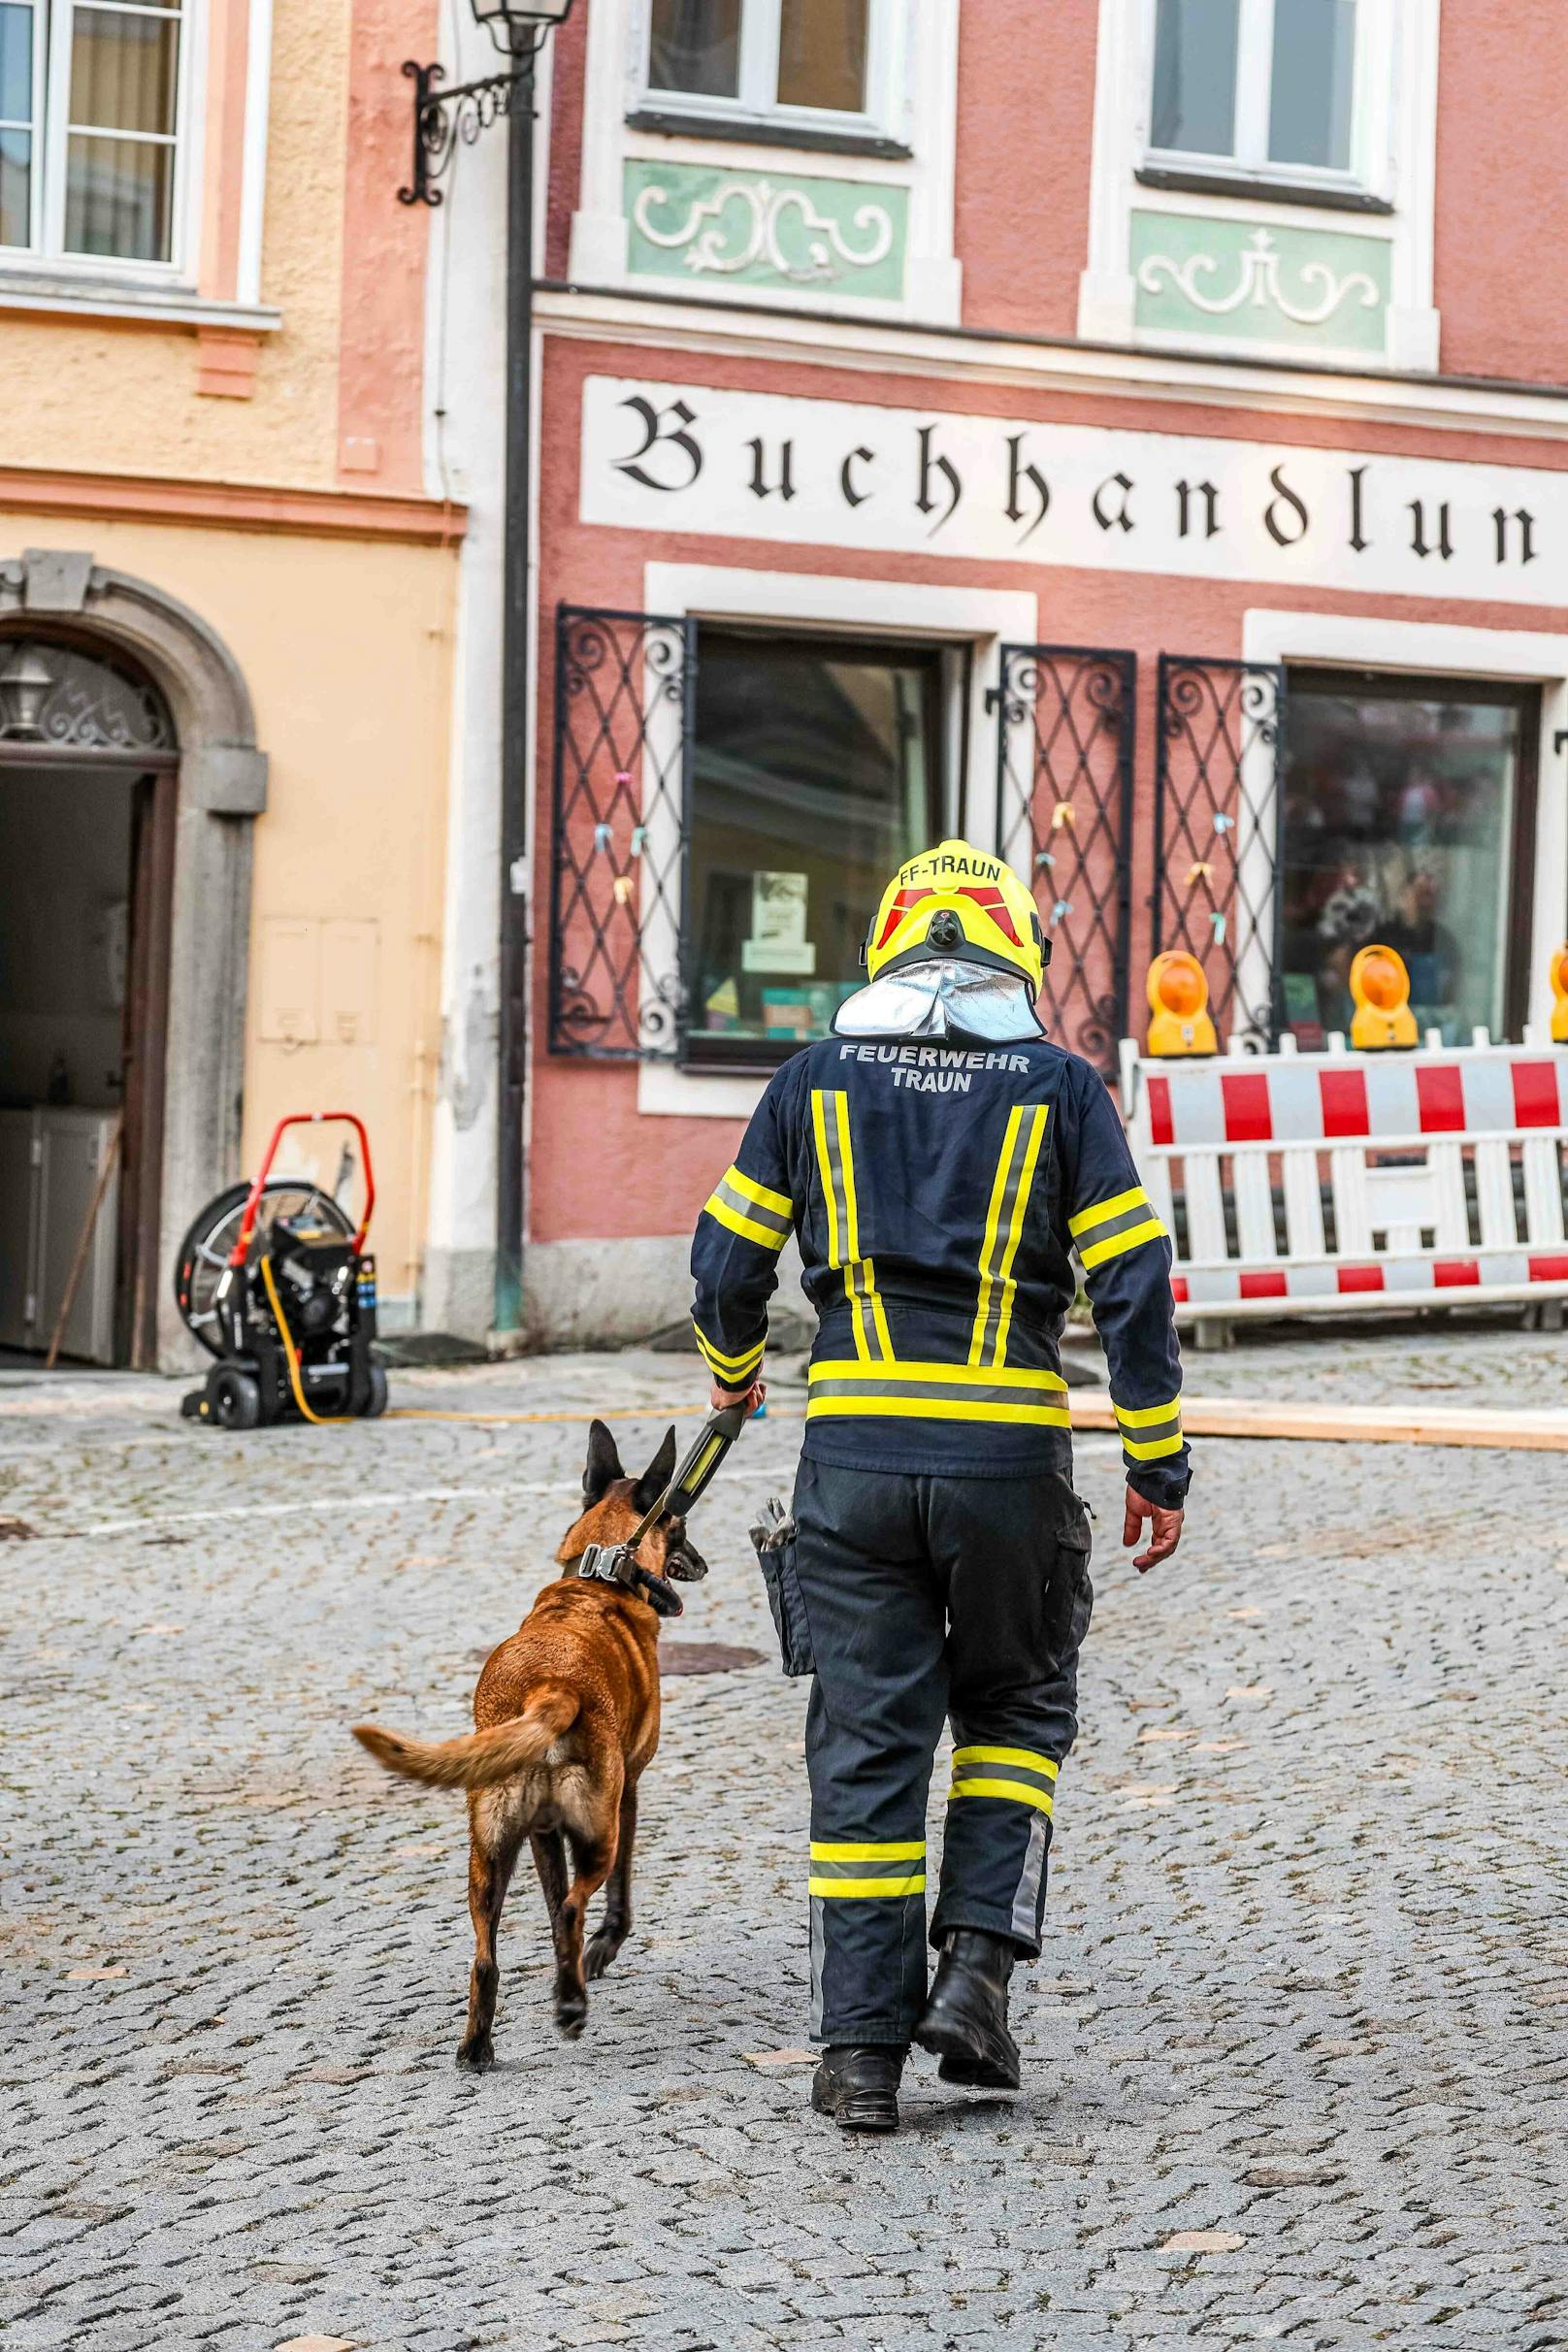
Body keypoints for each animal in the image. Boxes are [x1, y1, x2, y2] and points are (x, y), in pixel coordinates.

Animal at [352, 1411, 709, 2060]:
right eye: (681, 1525)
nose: (702, 1564)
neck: (601, 1577)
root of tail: (551, 1688)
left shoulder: (542, 1832)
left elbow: (546, 1902)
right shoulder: (628, 1795)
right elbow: (613, 1902)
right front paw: (600, 1954)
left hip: (488, 1852)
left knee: (486, 1955)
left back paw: (481, 2048)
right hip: (597, 1830)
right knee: (573, 1907)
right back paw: (571, 2006)